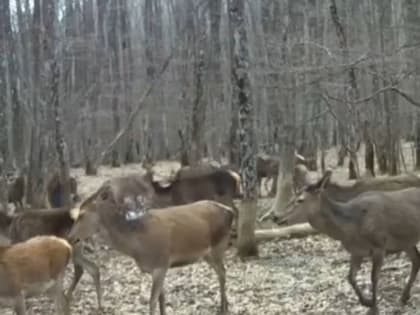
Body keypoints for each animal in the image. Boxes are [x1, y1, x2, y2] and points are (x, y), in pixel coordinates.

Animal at [67, 180, 235, 315]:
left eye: (81, 214)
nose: (69, 237)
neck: (137, 247)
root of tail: (230, 211)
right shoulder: (158, 268)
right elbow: (162, 299)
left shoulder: (161, 264)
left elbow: (152, 301)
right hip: (207, 253)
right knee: (221, 272)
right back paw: (225, 305)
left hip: (219, 245)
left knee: (223, 272)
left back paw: (223, 308)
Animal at [278, 172, 420, 314]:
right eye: (292, 197)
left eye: (300, 200)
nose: (277, 217)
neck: (352, 227)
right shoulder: (356, 251)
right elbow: (350, 277)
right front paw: (366, 302)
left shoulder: (380, 244)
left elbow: (374, 277)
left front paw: (373, 308)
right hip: (405, 241)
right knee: (416, 259)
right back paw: (404, 297)